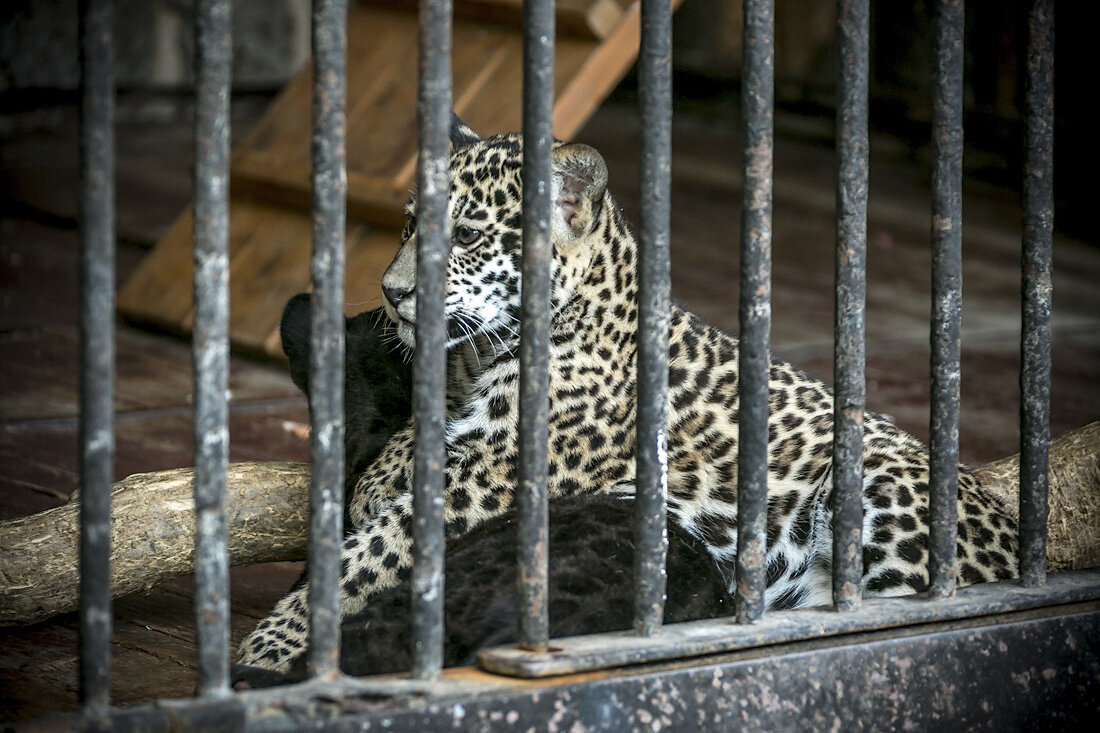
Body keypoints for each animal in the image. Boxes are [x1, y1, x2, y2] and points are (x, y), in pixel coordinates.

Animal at [238, 112, 1012, 669]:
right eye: (407, 224)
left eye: (466, 236)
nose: (392, 293)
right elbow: (405, 453)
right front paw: (377, 479)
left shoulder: (493, 483)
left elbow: (367, 557)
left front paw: (273, 644)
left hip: (886, 481)